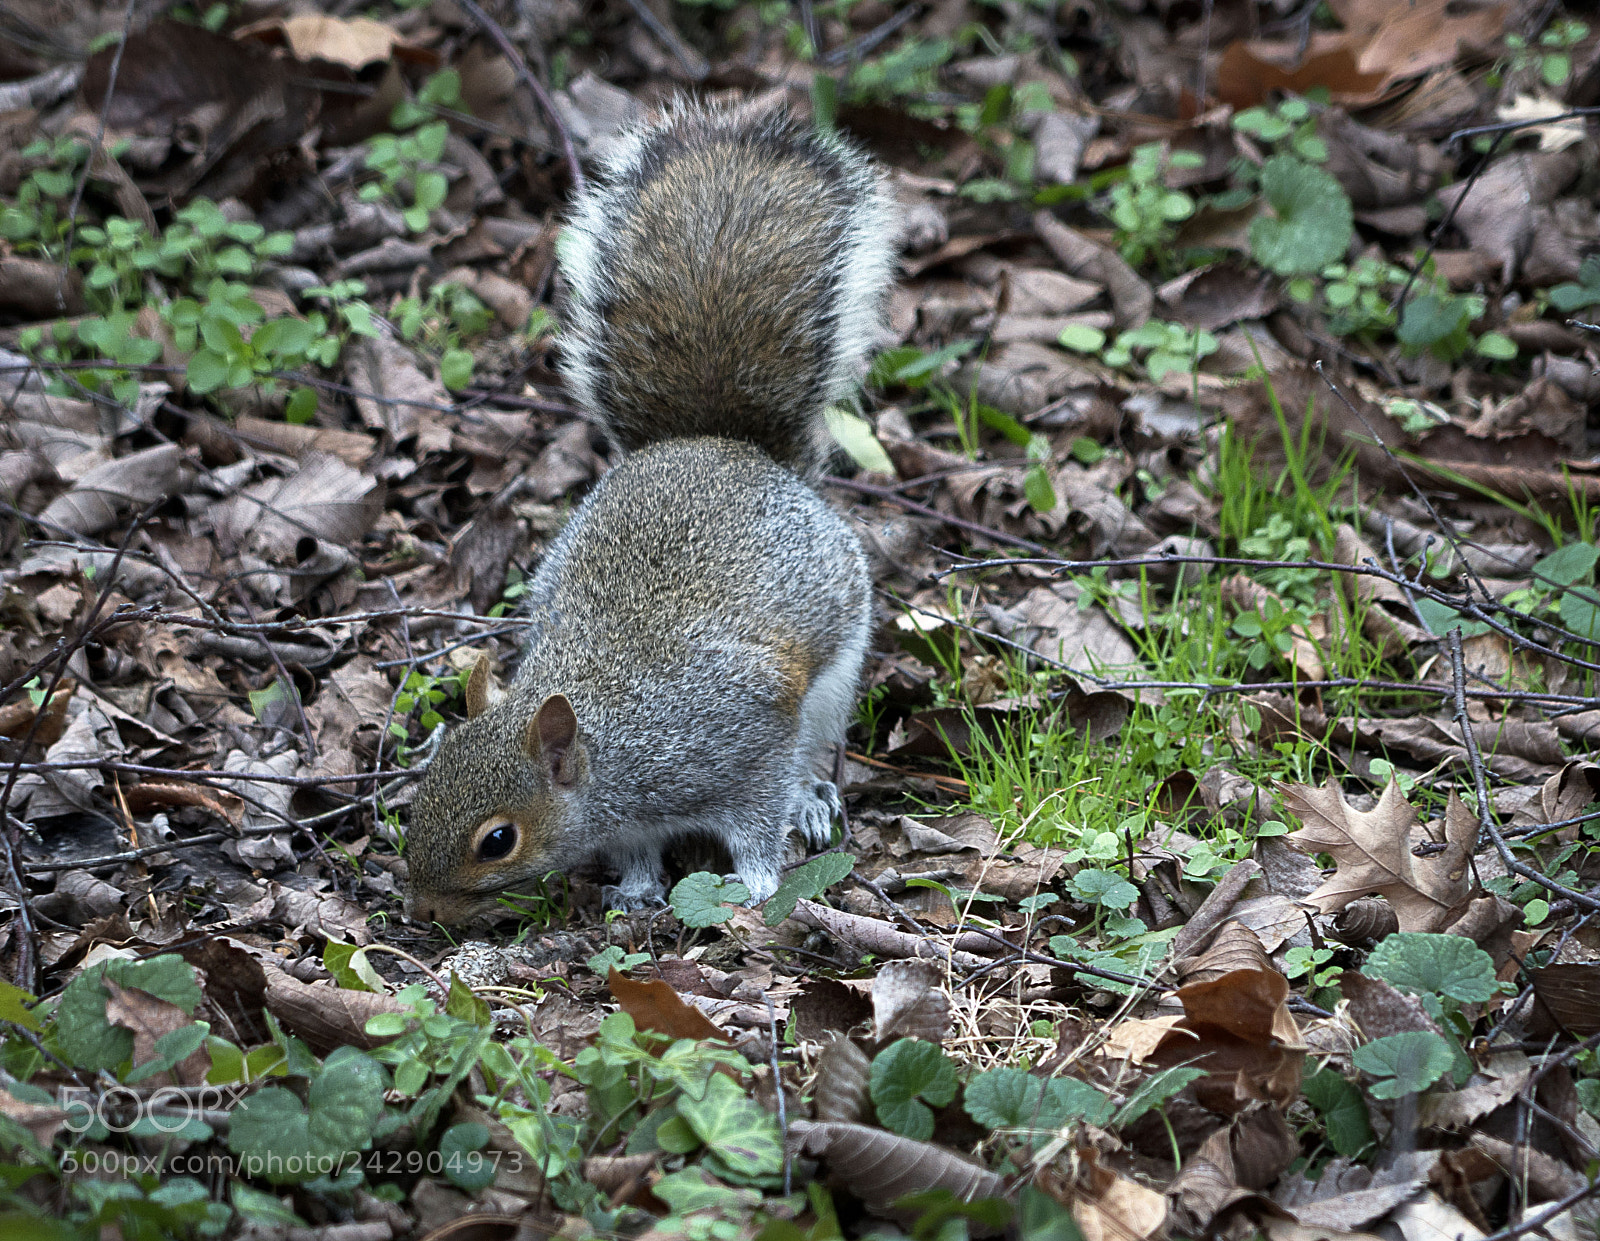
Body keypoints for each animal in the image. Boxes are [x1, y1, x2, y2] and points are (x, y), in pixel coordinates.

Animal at [402, 100, 900, 925]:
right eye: (420, 797)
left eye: (497, 839)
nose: (422, 911)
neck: (615, 752)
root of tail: (717, 444)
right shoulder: (631, 821)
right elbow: (638, 852)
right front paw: (635, 890)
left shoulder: (743, 738)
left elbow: (757, 820)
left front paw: (756, 881)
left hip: (834, 679)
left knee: (809, 751)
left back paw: (811, 797)